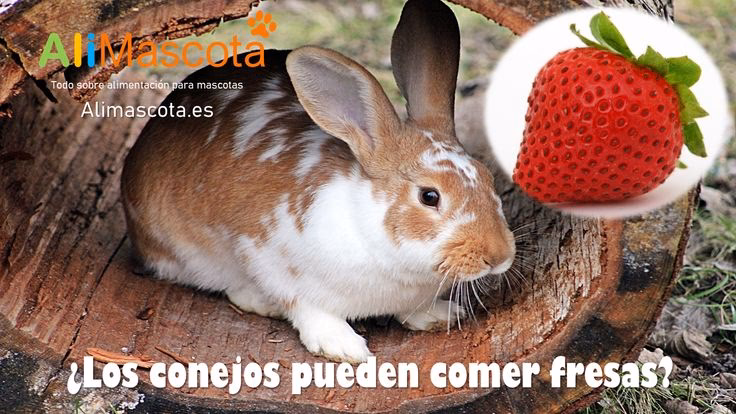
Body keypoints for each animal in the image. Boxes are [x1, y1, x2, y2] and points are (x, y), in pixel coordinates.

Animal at [120, 0, 516, 363]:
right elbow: (306, 307)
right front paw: (343, 347)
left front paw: (437, 315)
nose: (499, 256)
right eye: (429, 196)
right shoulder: (271, 259)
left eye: (486, 176)